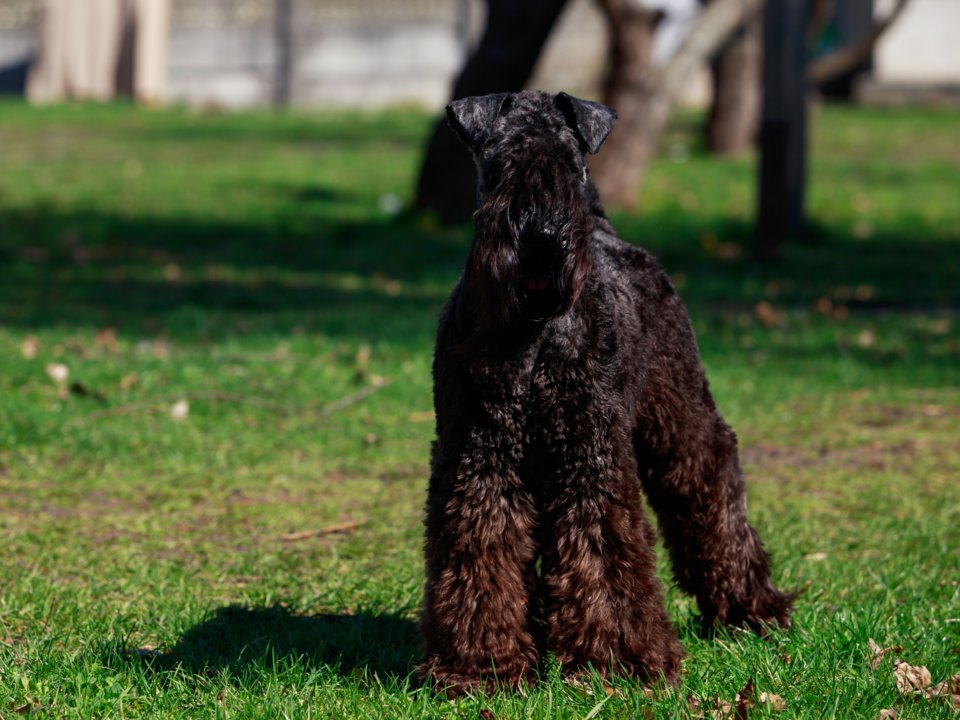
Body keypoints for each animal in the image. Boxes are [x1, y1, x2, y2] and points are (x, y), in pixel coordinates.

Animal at [418, 90, 788, 692]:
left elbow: (601, 547)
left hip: (679, 417)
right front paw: (481, 665)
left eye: (572, 165)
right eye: (501, 164)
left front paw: (619, 662)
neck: (534, 334)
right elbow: (479, 545)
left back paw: (751, 608)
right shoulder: (480, 454)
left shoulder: (588, 453)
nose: (543, 238)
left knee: (710, 485)